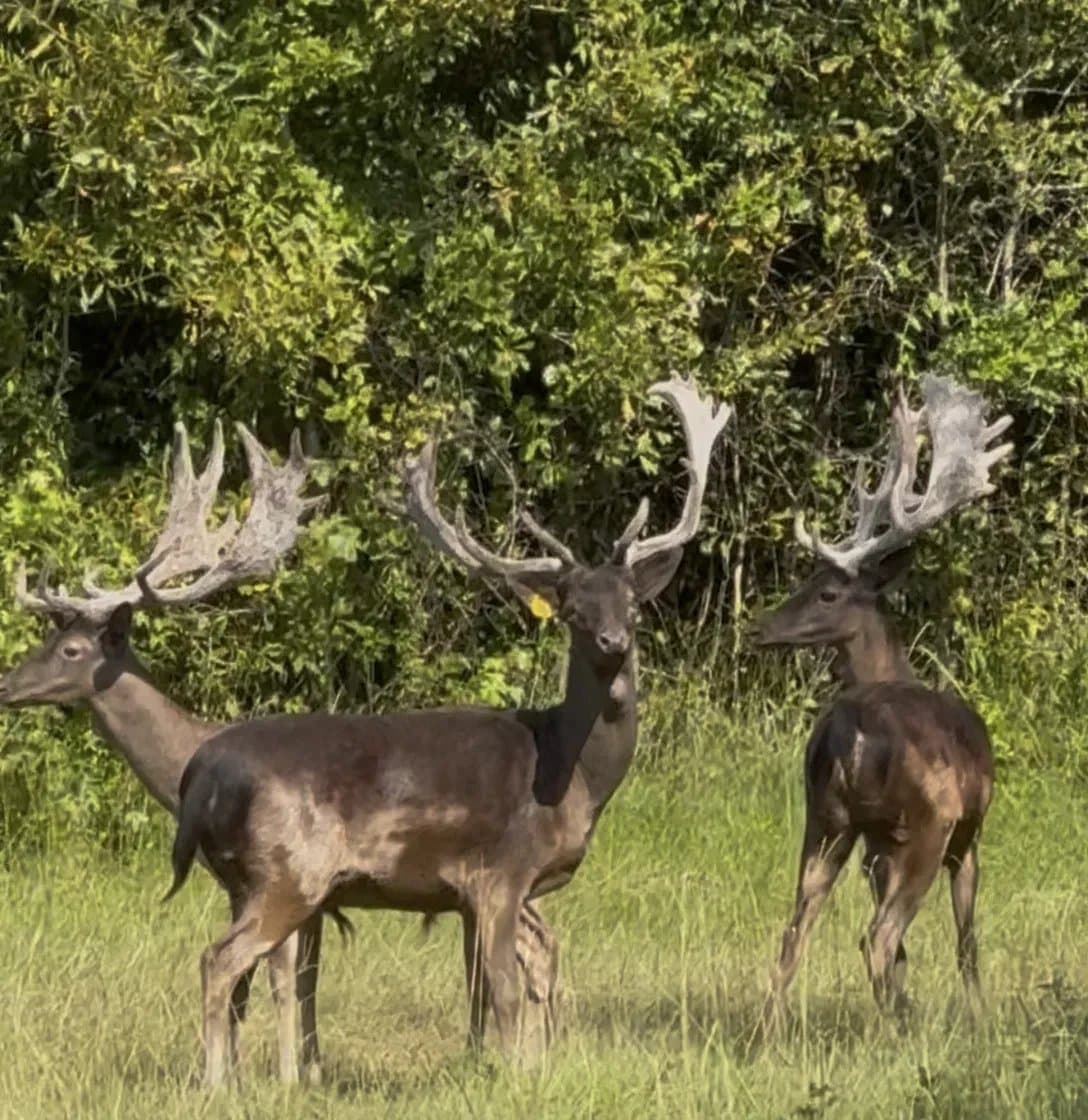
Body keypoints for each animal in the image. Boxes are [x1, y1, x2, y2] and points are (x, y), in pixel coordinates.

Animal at [162, 377, 732, 1086]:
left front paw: (523, 1065)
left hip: (245, 880)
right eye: (572, 610)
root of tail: (199, 773)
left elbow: (517, 976)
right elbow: (502, 989)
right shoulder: (498, 872)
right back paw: (217, 1085)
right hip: (288, 871)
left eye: (633, 604)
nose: (612, 642)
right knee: (219, 962)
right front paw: (514, 1076)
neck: (573, 774)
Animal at [753, 375, 1013, 1023]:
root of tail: (851, 734)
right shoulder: (969, 833)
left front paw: (907, 1001)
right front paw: (979, 1016)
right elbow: (967, 939)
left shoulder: (876, 845)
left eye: (825, 590)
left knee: (796, 930)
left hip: (827, 820)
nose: (758, 628)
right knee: (878, 934)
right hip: (926, 825)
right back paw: (894, 1029)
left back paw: (769, 1029)